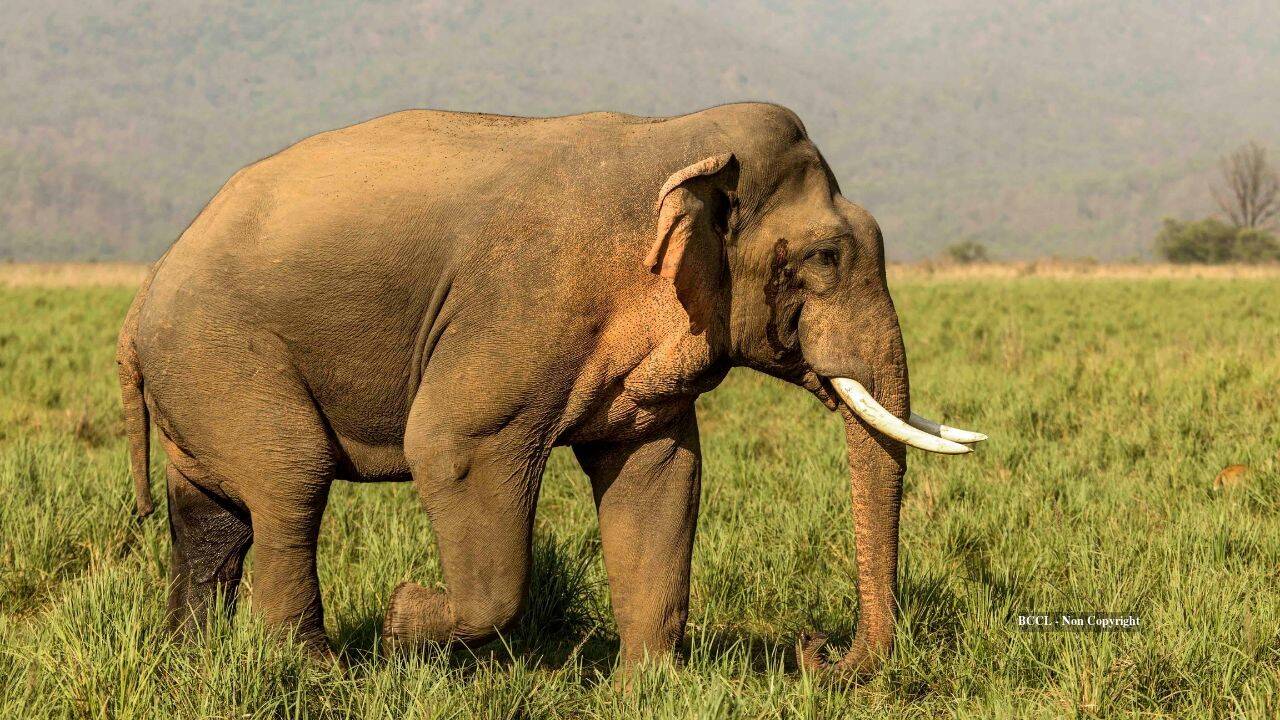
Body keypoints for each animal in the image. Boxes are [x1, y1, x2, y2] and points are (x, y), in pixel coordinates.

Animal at [116, 102, 984, 676]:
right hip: (224, 355)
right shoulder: (519, 303)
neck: (676, 136)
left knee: (212, 519)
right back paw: (316, 675)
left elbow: (660, 474)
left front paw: (645, 691)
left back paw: (193, 664)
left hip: (197, 379)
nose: (816, 650)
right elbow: (452, 446)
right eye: (826, 259)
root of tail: (142, 296)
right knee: (290, 484)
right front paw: (401, 622)